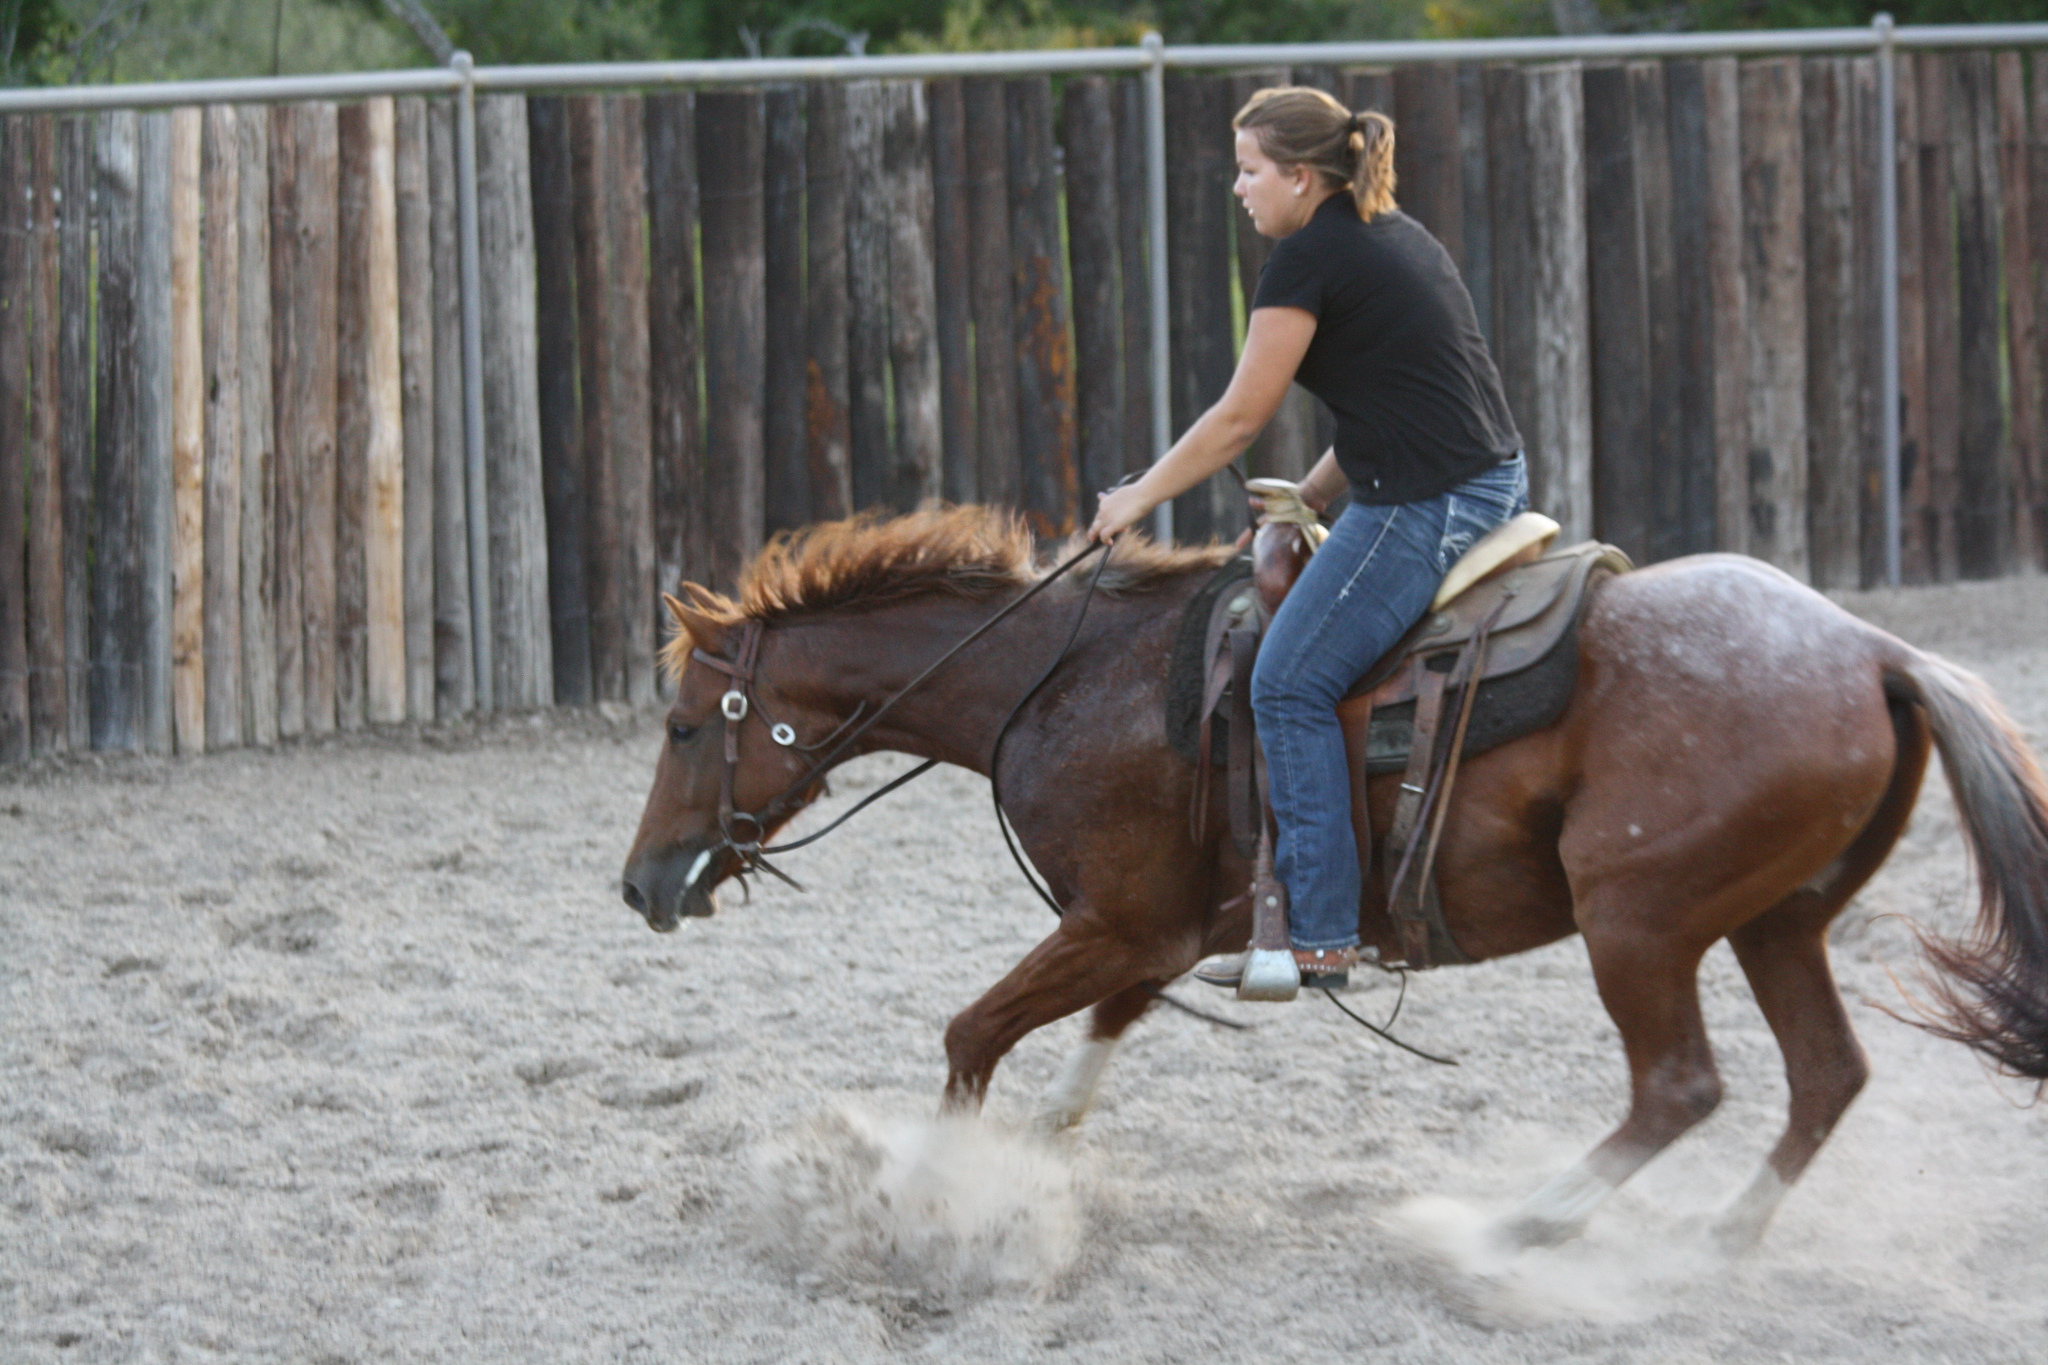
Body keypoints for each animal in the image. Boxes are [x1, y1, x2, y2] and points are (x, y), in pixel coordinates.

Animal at [620, 504, 2048, 1255]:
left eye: (684, 725)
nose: (640, 888)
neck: (1065, 678)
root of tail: (1871, 649)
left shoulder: (1118, 917)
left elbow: (972, 1032)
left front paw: (935, 1192)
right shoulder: (1157, 926)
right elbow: (1098, 1029)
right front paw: (1041, 1144)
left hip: (1637, 922)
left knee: (1679, 1088)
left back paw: (1516, 1232)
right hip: (1772, 922)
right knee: (1825, 1077)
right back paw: (1713, 1247)